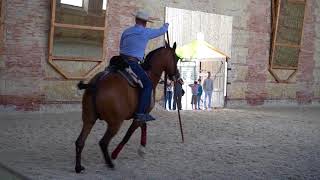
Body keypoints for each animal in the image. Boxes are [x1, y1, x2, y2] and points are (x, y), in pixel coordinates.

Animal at [75, 42, 180, 173]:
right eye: (176, 58)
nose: (177, 76)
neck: (149, 75)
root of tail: (97, 83)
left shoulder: (141, 115)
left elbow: (144, 127)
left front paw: (142, 149)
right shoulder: (139, 116)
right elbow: (128, 135)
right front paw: (115, 154)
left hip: (89, 119)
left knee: (80, 141)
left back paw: (78, 167)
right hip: (115, 123)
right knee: (103, 142)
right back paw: (110, 162)